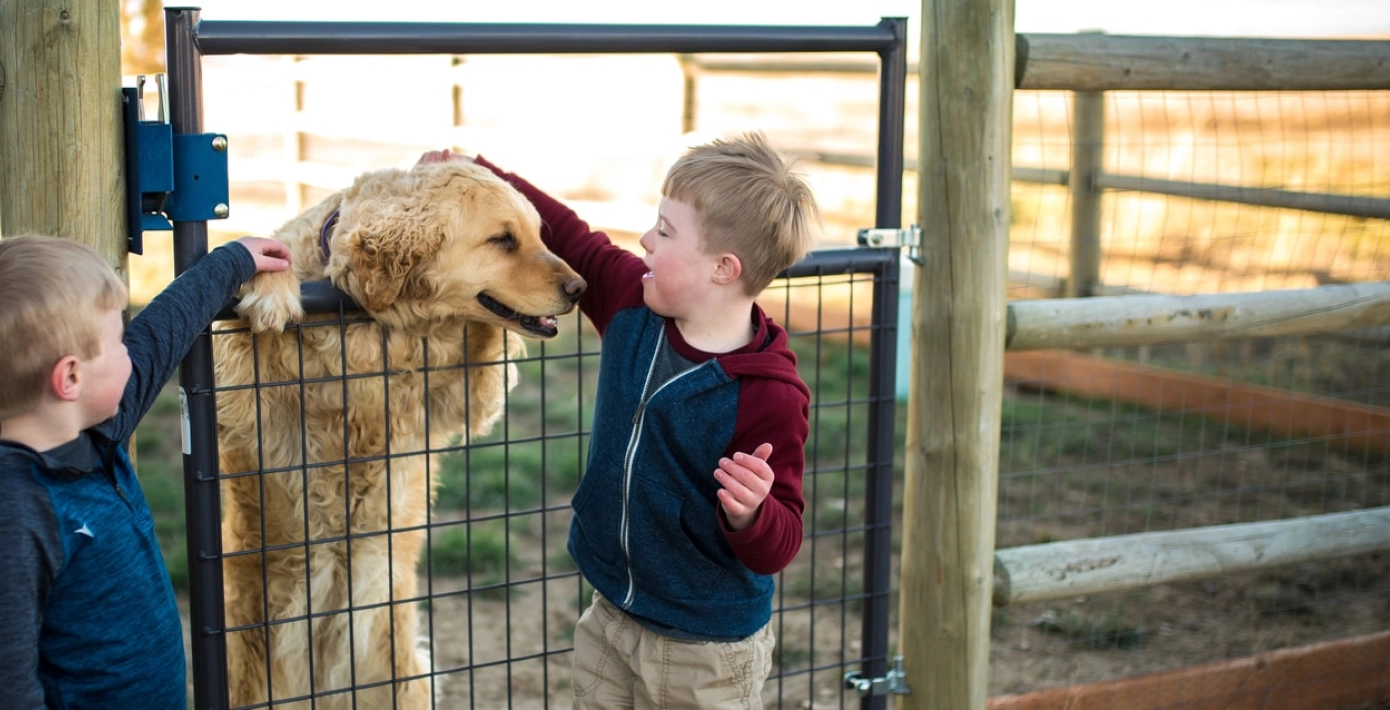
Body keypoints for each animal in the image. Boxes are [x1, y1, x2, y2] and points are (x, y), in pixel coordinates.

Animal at [214, 162, 583, 710]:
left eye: (537, 235)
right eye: (502, 239)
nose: (581, 288)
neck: (365, 325)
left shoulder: (457, 398)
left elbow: (487, 347)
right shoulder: (241, 394)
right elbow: (265, 264)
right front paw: (269, 282)